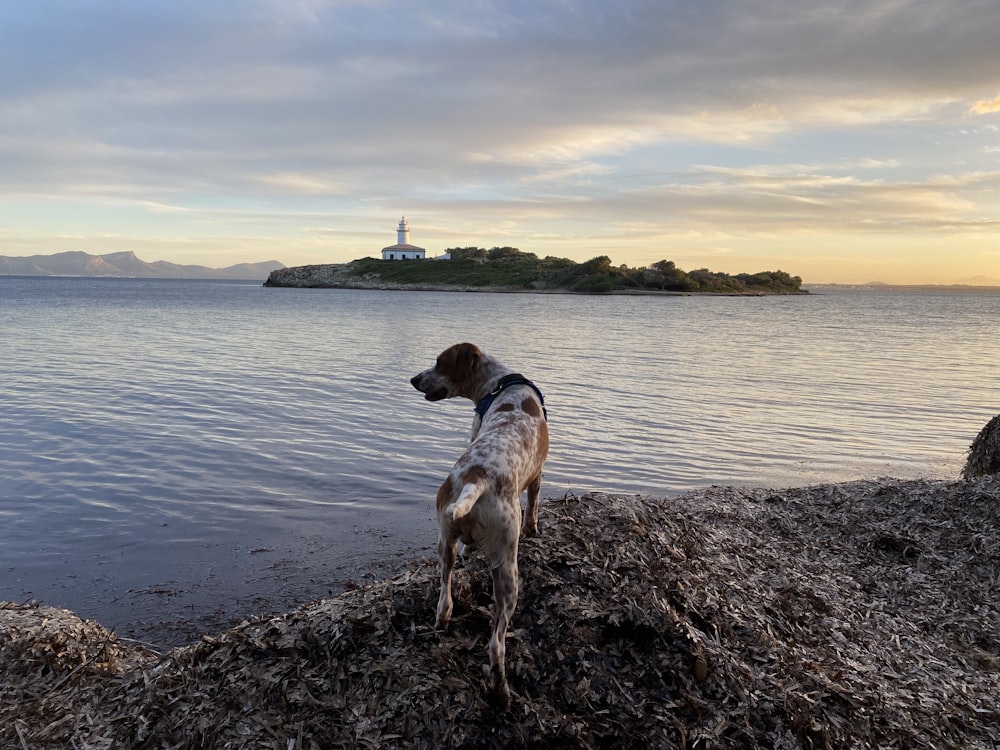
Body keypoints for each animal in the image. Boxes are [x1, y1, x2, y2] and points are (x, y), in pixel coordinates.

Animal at [410, 344, 552, 708]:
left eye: (440, 362)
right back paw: (501, 692)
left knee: (445, 597)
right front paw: (534, 529)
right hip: (508, 569)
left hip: (445, 543)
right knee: (496, 643)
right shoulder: (538, 474)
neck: (498, 384)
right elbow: (534, 505)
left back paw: (443, 619)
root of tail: (478, 477)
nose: (413, 379)